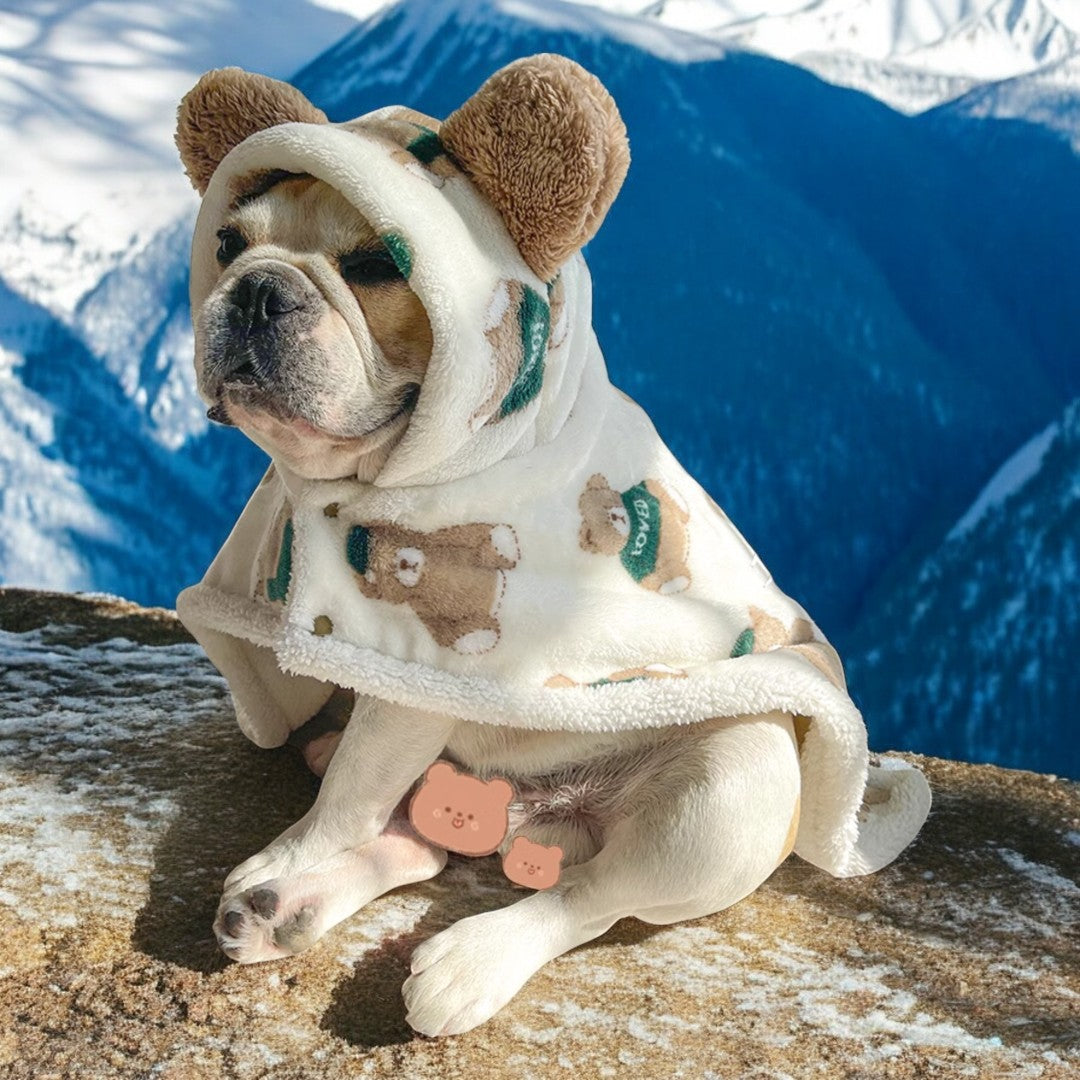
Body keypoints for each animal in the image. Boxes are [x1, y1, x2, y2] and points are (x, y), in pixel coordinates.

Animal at [343, 518, 520, 655]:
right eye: (374, 573)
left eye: (386, 539)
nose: (405, 564)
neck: (424, 575)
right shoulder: (423, 608)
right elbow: (442, 631)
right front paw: (473, 638)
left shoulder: (438, 540)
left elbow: (463, 534)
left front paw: (502, 540)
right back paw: (479, 636)